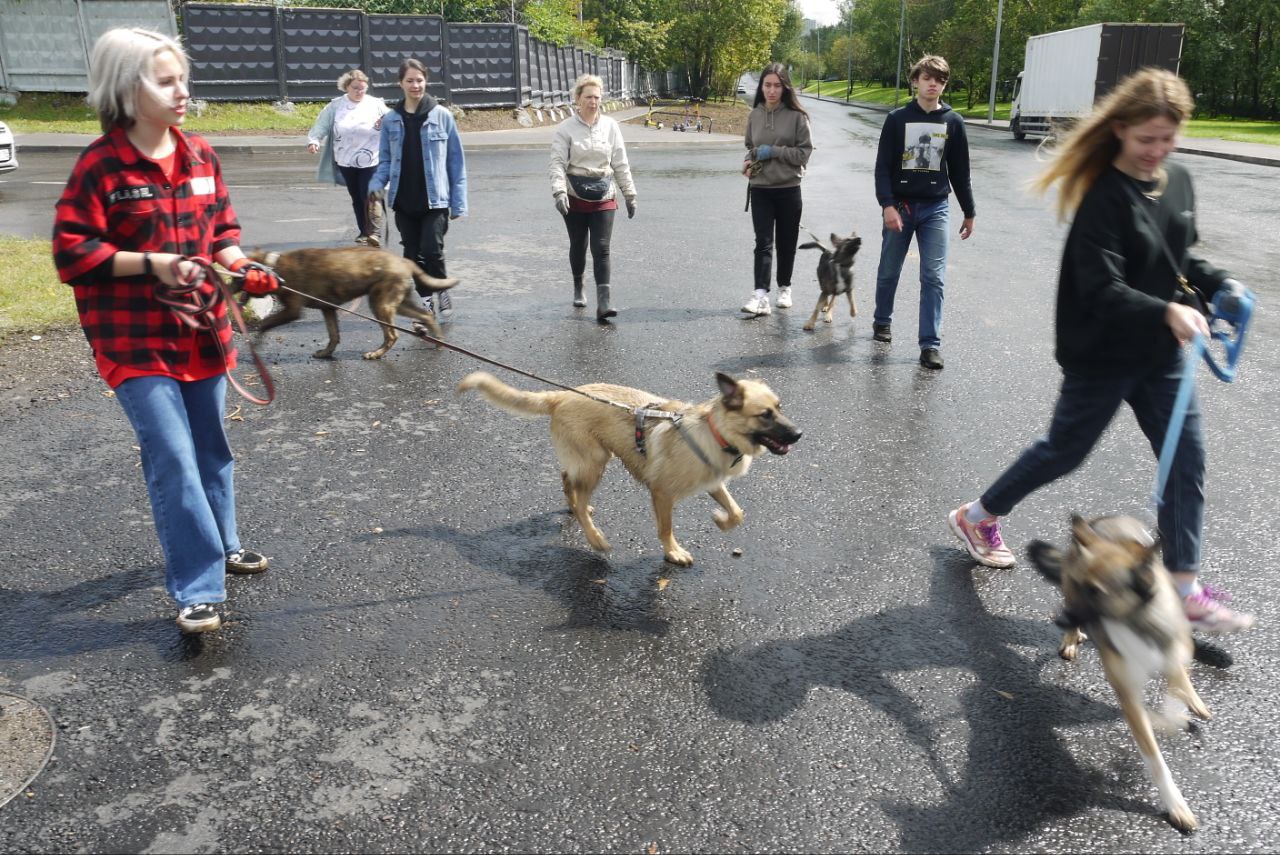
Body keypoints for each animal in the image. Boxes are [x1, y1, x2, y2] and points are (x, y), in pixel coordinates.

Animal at [241, 245, 458, 358]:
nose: (240, 302)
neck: (273, 267)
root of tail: (403, 260)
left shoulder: (293, 310)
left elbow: (266, 323)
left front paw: (256, 342)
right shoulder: (328, 309)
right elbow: (333, 335)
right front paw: (326, 353)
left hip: (380, 304)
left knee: (392, 335)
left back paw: (376, 354)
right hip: (398, 303)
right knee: (426, 315)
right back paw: (439, 340)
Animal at [458, 371, 798, 563]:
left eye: (780, 407)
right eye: (765, 415)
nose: (799, 434)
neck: (715, 431)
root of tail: (560, 395)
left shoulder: (714, 482)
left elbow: (737, 512)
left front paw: (721, 520)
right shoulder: (661, 494)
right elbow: (665, 528)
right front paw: (673, 552)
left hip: (587, 460)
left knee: (567, 478)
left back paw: (574, 505)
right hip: (596, 462)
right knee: (579, 497)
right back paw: (594, 537)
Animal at [1029, 514, 1208, 829]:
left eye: (1096, 592)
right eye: (1078, 585)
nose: (1059, 620)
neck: (1137, 620)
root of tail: (1100, 521)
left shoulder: (1174, 651)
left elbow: (1175, 687)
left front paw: (1177, 711)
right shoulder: (1127, 692)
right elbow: (1154, 755)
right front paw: (1174, 803)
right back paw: (1071, 638)